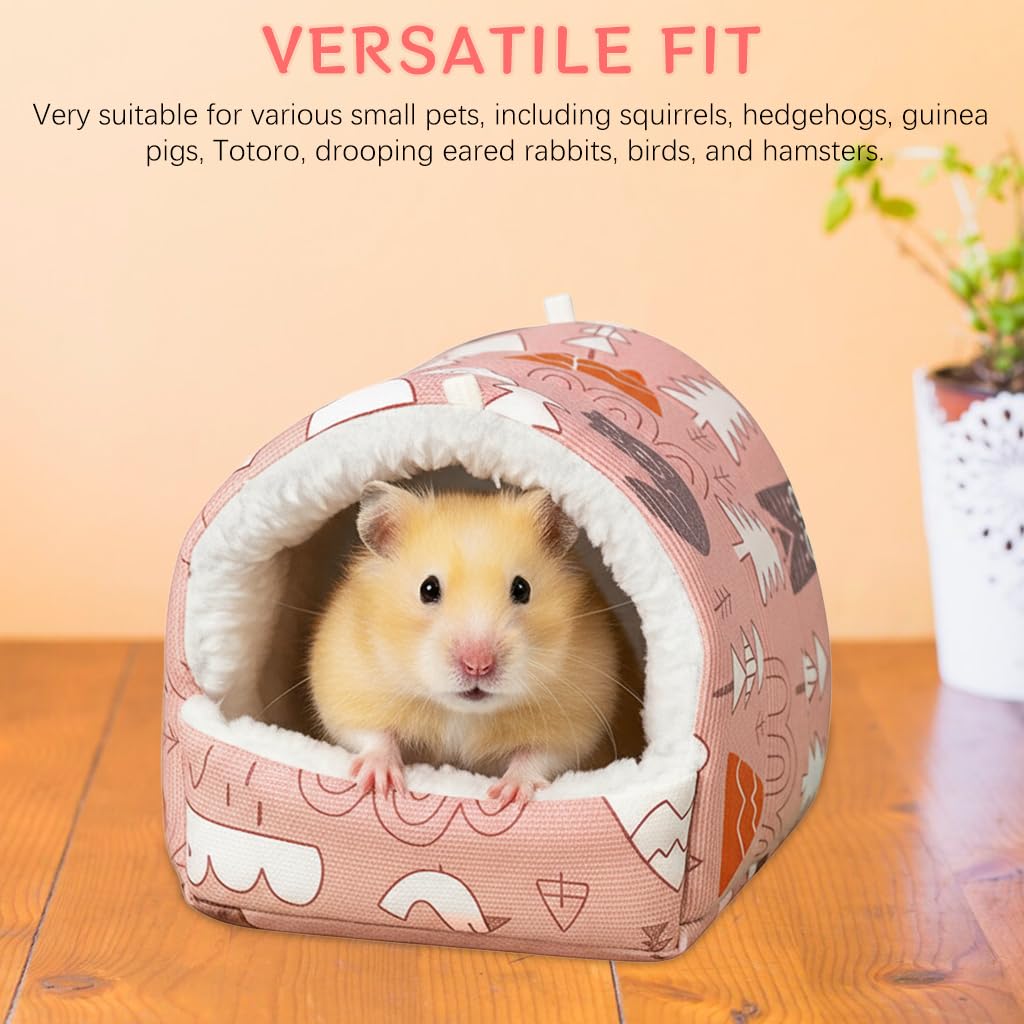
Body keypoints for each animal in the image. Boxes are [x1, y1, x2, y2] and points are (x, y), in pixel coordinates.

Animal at [308, 482, 624, 805]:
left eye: (522, 588)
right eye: (428, 588)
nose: (478, 666)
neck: (463, 713)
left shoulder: (576, 722)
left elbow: (538, 755)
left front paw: (507, 796)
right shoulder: (348, 689)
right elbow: (371, 733)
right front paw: (379, 783)